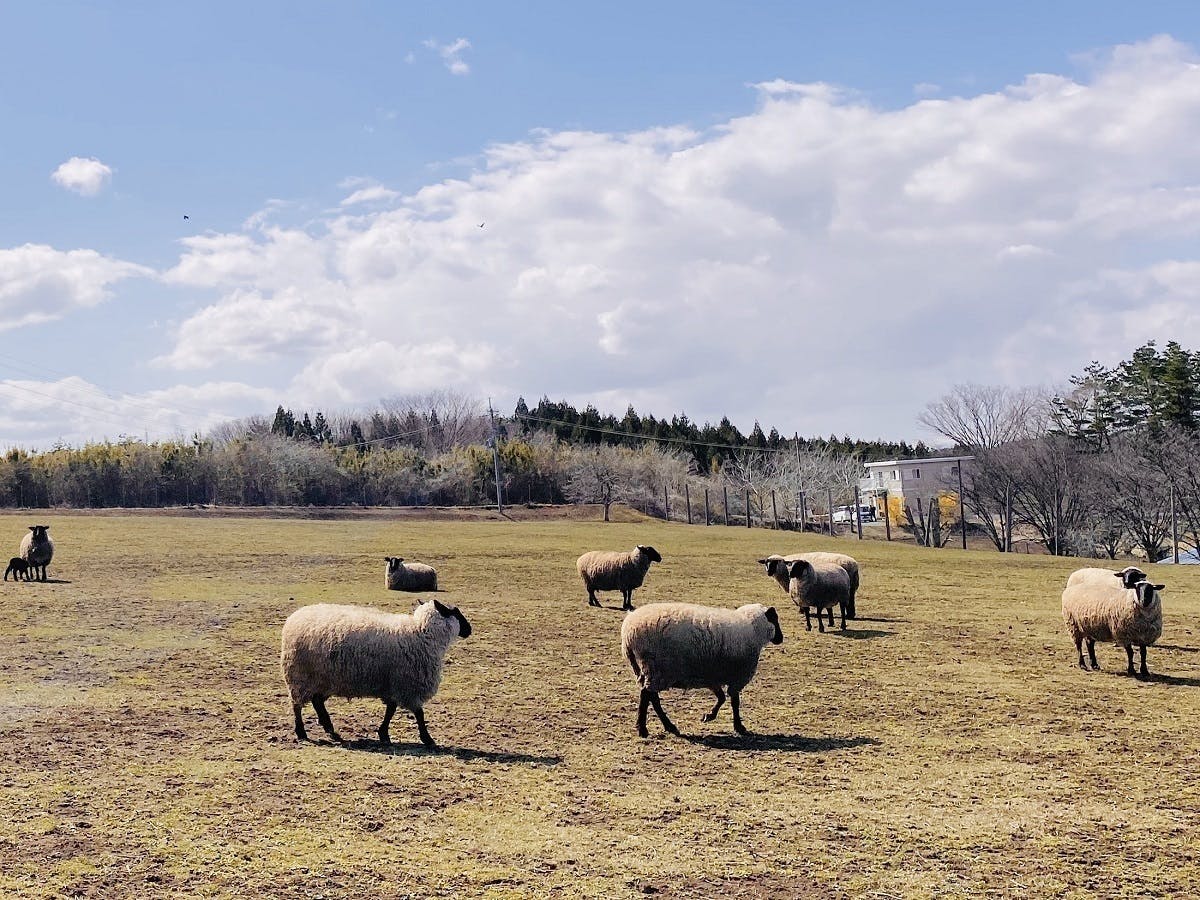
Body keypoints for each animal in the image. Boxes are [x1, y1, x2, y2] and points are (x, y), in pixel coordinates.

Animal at [278, 595, 470, 748]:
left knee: (317, 701)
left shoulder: (393, 685)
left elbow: (391, 710)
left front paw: (383, 734)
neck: (421, 633)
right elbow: (419, 714)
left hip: (323, 679)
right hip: (299, 677)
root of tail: (294, 618)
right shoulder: (408, 685)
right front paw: (427, 738)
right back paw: (301, 732)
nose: (469, 630)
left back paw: (330, 730)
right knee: (297, 705)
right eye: (456, 612)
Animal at [619, 602, 787, 734]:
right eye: (775, 619)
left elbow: (721, 698)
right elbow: (734, 702)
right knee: (647, 695)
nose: (780, 638)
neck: (753, 629)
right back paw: (643, 729)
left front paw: (709, 716)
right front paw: (739, 727)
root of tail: (628, 632)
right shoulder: (737, 677)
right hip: (657, 668)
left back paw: (668, 726)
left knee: (652, 697)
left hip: (650, 670)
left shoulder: (712, 676)